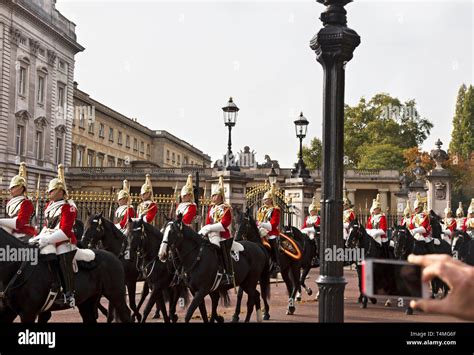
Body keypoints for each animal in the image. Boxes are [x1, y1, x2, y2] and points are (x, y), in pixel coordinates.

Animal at [0, 229, 131, 324]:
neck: (18, 267)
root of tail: (114, 256)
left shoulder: (28, 313)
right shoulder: (8, 311)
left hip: (115, 295)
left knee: (126, 314)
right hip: (87, 301)